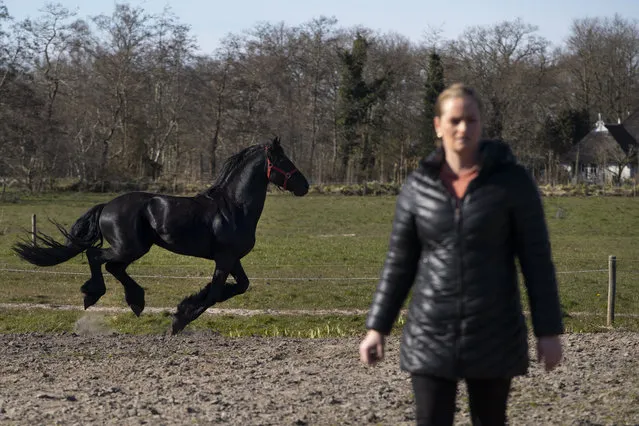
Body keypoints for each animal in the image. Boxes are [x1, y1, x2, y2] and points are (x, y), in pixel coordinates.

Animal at [11, 138, 308, 334]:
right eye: (283, 160)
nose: (304, 186)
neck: (234, 207)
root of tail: (106, 206)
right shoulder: (224, 258)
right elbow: (214, 293)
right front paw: (179, 320)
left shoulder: (232, 259)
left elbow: (238, 287)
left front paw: (185, 306)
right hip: (129, 247)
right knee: (96, 256)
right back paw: (93, 295)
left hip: (134, 248)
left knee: (113, 266)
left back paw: (136, 301)